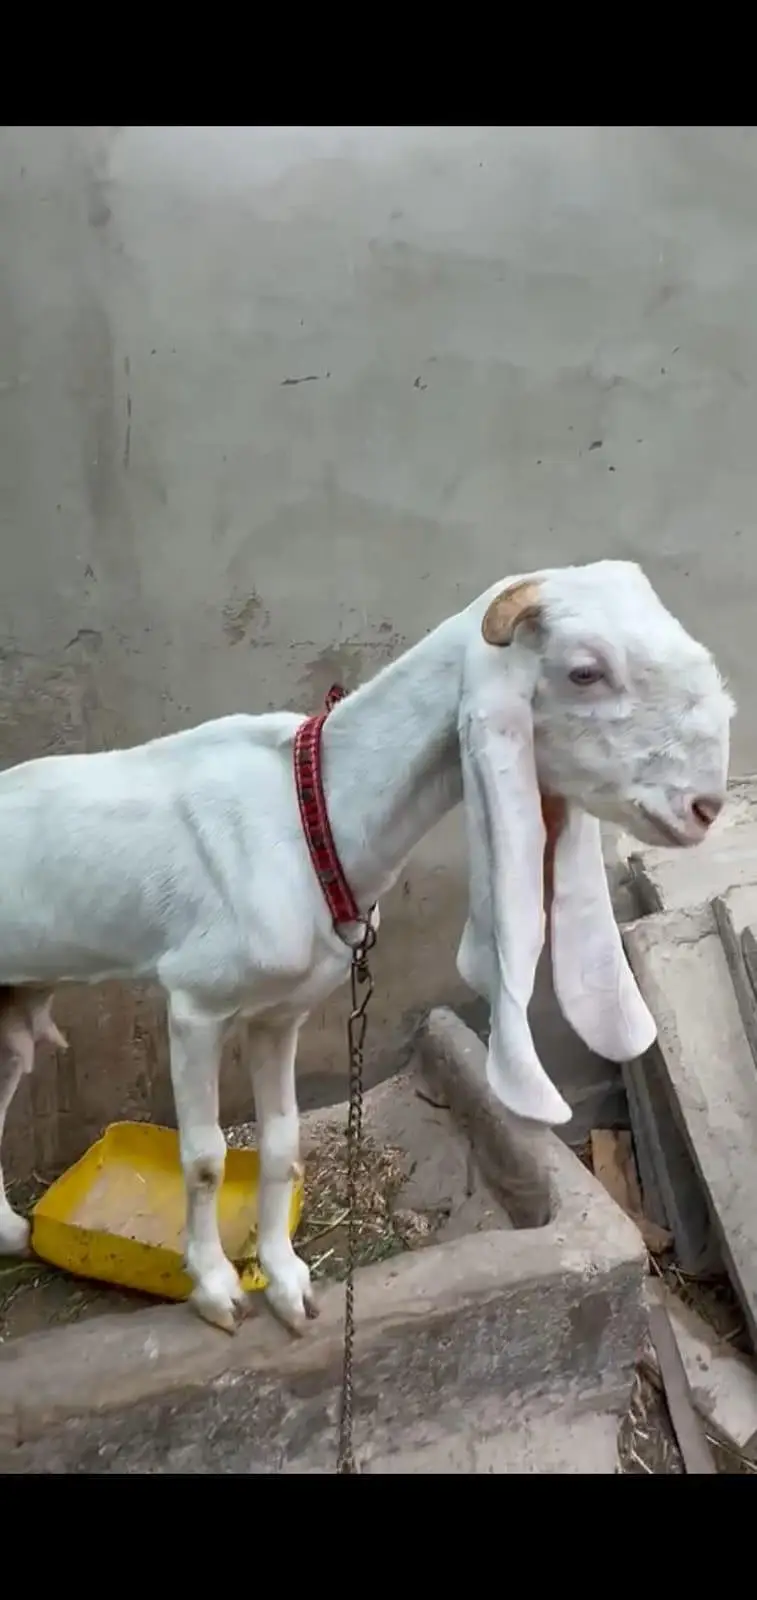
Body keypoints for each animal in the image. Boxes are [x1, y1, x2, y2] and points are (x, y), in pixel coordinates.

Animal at [0, 560, 734, 1335]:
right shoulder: (195, 1002)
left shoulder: (279, 1014)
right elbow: (203, 1158)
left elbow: (282, 1145)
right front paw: (217, 1290)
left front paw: (289, 1283)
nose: (704, 809)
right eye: (585, 671)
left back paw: (13, 1232)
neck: (311, 814)